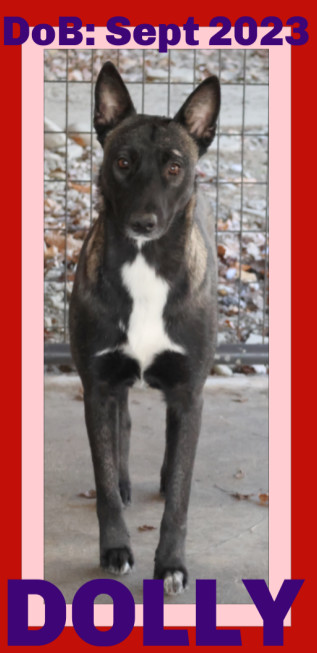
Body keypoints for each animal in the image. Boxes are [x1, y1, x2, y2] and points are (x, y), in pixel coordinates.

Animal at [68, 62, 220, 596]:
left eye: (174, 167)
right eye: (123, 162)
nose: (143, 221)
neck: (145, 265)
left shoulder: (190, 393)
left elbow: (180, 495)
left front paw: (171, 563)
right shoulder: (97, 386)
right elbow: (104, 480)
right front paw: (115, 548)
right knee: (123, 425)